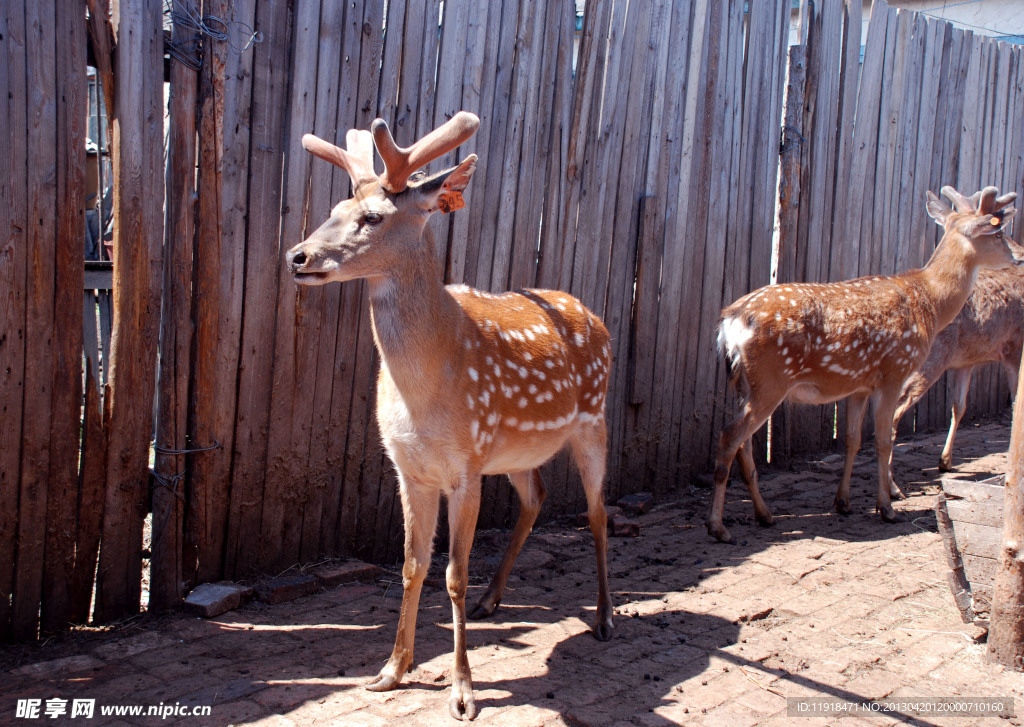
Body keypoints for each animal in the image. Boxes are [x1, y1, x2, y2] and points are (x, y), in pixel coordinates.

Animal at [284, 113, 610, 724]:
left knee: (598, 513)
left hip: (594, 421)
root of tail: (592, 313)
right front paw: (389, 671)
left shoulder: (464, 466)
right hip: (515, 453)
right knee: (537, 497)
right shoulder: (409, 469)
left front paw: (463, 692)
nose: (297, 256)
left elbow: (453, 575)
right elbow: (412, 566)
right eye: (334, 208)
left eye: (373, 216)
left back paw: (603, 618)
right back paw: (492, 599)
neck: (423, 394)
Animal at [888, 264, 1024, 475]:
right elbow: (1017, 403)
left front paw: (945, 461)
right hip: (930, 358)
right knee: (894, 411)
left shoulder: (965, 362)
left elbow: (959, 406)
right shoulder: (1014, 347)